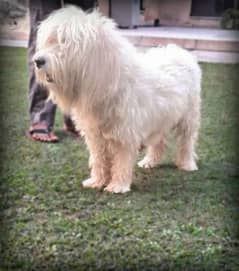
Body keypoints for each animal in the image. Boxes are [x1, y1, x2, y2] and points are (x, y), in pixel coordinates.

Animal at [33, 5, 202, 194]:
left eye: (64, 42)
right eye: (49, 41)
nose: (37, 61)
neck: (107, 82)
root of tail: (180, 51)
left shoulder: (125, 132)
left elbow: (121, 159)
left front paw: (118, 186)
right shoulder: (95, 135)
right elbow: (99, 159)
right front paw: (97, 181)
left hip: (188, 116)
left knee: (187, 141)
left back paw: (187, 164)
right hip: (162, 118)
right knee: (159, 142)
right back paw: (149, 161)